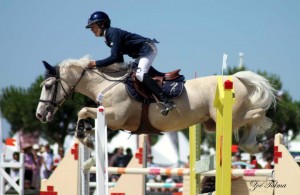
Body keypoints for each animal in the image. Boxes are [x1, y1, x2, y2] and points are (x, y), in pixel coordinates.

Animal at [35, 55, 276, 154]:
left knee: (258, 115)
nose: (40, 115)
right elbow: (85, 114)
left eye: (48, 85)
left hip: (230, 117)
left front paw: (85, 139)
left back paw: (255, 144)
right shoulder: (110, 120)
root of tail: (235, 78)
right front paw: (85, 136)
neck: (106, 83)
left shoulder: (115, 117)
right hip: (213, 123)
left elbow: (82, 109)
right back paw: (253, 145)